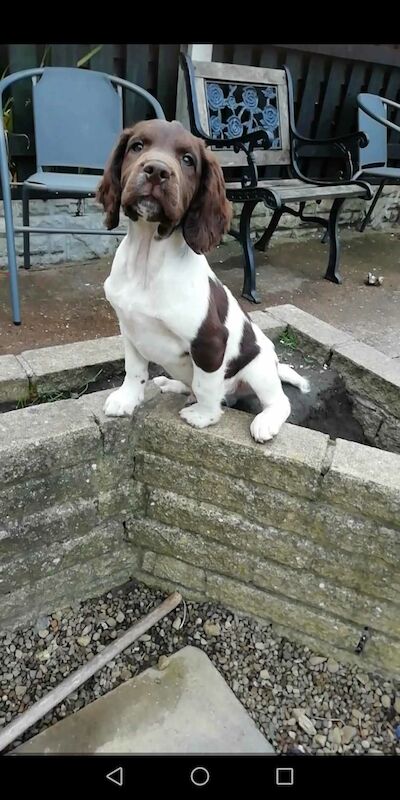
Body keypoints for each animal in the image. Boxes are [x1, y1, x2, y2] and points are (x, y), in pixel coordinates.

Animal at [97, 120, 310, 444]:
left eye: (188, 160)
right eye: (137, 146)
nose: (156, 171)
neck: (147, 259)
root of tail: (274, 365)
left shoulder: (210, 341)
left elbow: (207, 384)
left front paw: (204, 417)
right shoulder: (130, 328)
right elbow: (134, 369)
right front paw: (126, 400)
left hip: (259, 366)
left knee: (277, 400)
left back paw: (265, 421)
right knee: (190, 383)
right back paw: (174, 386)